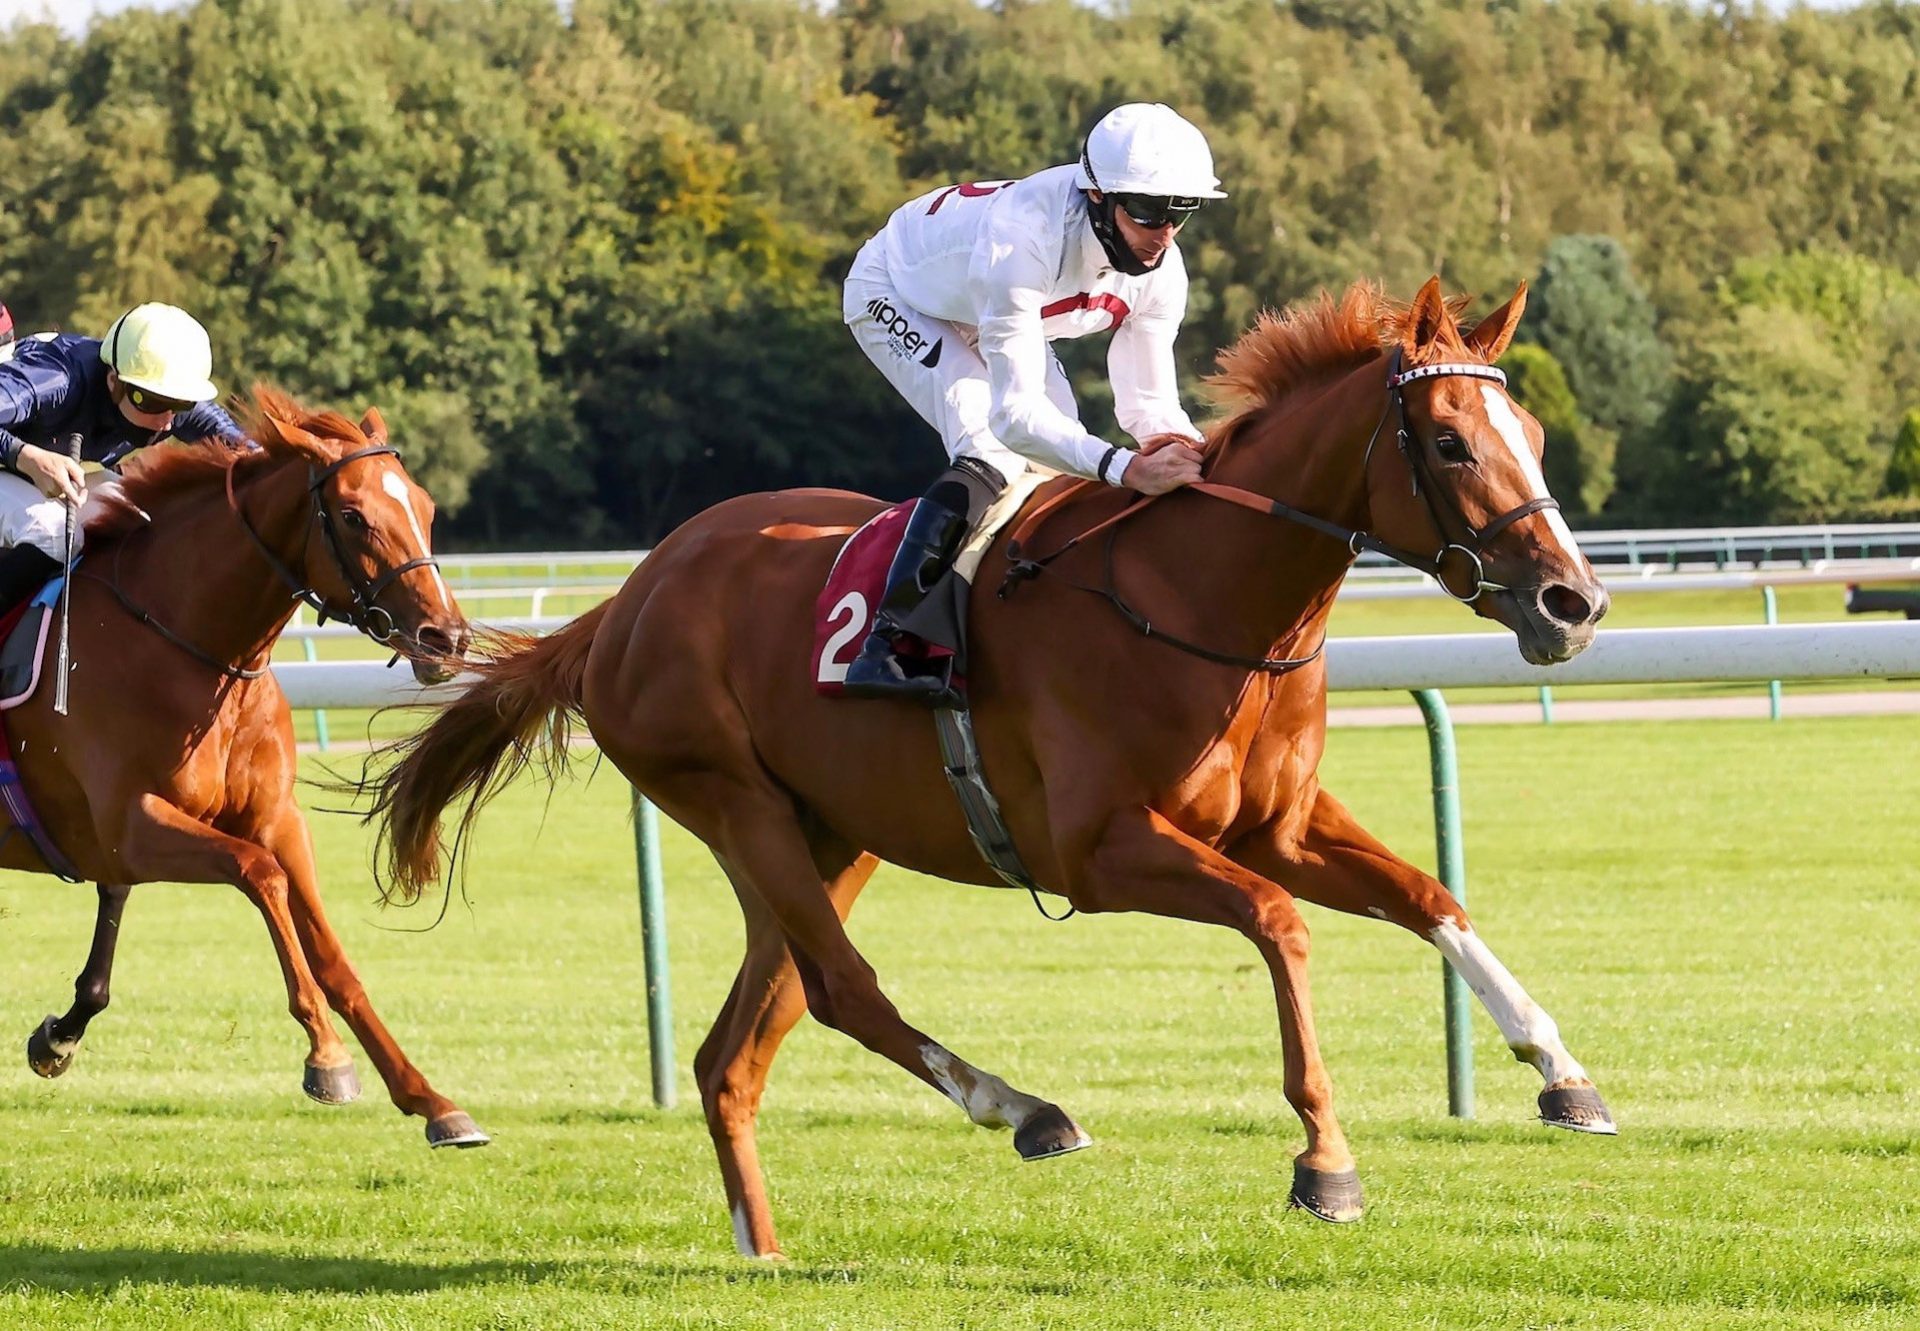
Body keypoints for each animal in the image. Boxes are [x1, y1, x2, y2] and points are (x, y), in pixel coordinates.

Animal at [10, 384, 487, 1144]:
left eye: (425, 505)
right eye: (352, 516)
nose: (445, 638)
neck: (187, 642)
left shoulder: (275, 816)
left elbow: (332, 954)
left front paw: (430, 1099)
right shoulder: (132, 827)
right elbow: (257, 874)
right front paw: (327, 1058)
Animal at [366, 274, 1612, 1252]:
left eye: (1536, 438)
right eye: (1449, 441)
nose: (1575, 601)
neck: (1197, 596)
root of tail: (623, 602)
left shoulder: (1282, 823)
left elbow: (1429, 895)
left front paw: (1562, 1069)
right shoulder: (1100, 850)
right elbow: (1279, 922)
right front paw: (1326, 1161)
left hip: (829, 832)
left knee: (741, 1044)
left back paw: (764, 1245)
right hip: (729, 797)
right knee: (843, 988)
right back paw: (1024, 1109)